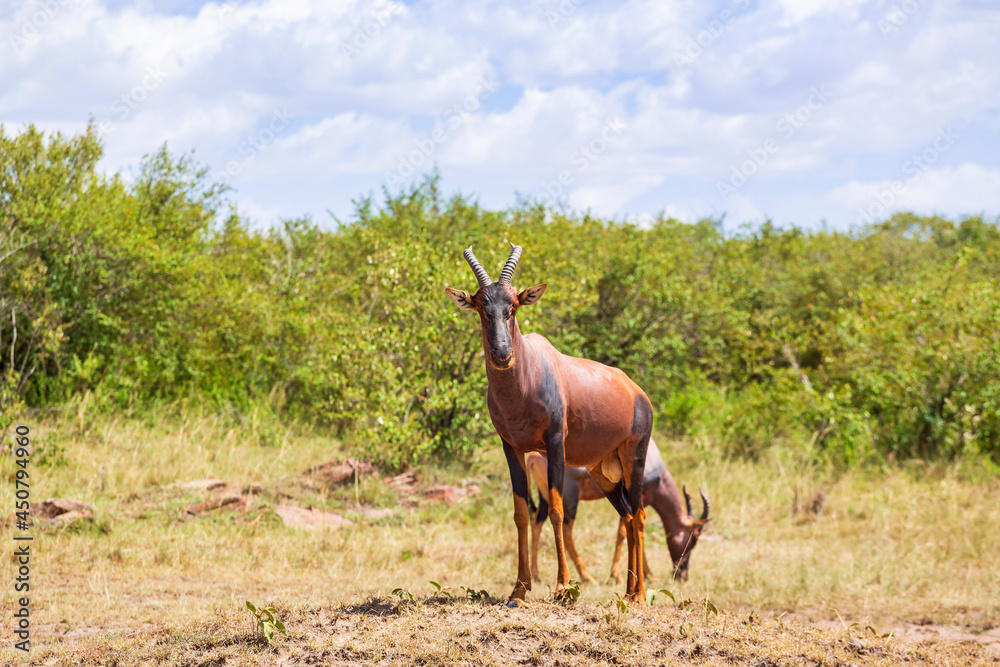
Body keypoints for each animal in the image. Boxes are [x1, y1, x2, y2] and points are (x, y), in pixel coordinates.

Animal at [445, 243, 653, 605]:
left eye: (513, 307)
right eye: (481, 307)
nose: (502, 355)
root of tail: (636, 391)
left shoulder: (555, 444)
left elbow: (556, 510)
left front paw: (562, 588)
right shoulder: (511, 448)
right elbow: (520, 513)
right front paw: (518, 590)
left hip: (634, 459)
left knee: (638, 516)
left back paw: (639, 594)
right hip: (604, 472)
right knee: (627, 516)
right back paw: (627, 592)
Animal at [526, 437, 710, 585]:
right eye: (694, 538)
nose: (682, 575)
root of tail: (533, 456)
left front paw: (648, 575)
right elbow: (624, 532)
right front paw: (617, 576)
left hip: (545, 497)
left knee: (537, 522)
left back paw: (536, 576)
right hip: (570, 498)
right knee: (566, 530)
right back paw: (587, 577)